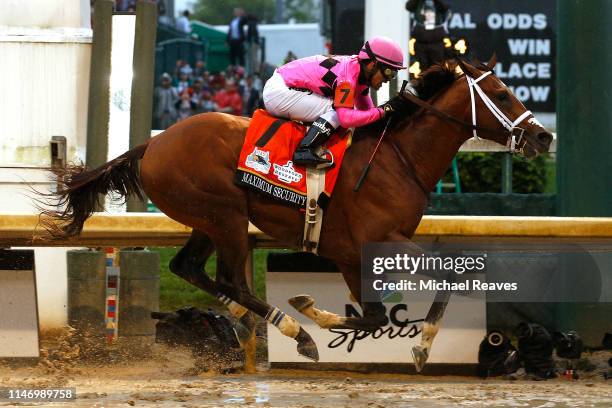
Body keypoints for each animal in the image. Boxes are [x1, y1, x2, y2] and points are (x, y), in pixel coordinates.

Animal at [39, 58, 556, 372]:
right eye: (502, 94)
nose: (543, 137)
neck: (398, 159)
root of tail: (153, 143)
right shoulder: (377, 241)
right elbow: (433, 284)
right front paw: (415, 342)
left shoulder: (351, 255)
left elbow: (373, 316)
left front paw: (325, 315)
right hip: (225, 215)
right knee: (229, 280)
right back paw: (291, 332)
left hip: (207, 221)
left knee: (189, 268)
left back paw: (252, 325)